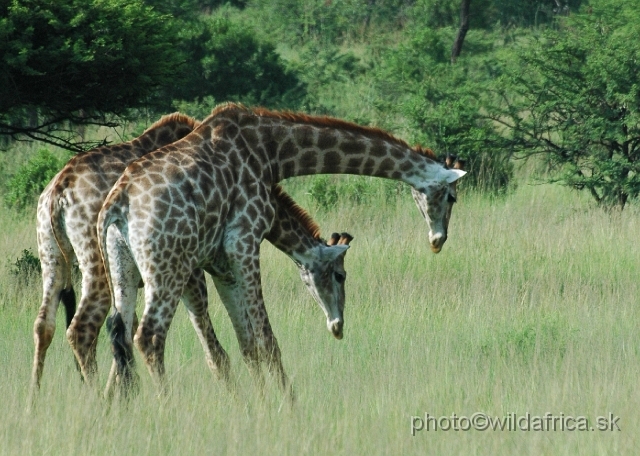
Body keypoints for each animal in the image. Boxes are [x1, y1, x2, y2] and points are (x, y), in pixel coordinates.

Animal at [105, 183, 356, 398]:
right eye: (340, 275)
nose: (338, 327)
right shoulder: (216, 271)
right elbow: (243, 344)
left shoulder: (221, 273)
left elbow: (246, 343)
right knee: (145, 336)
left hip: (123, 274)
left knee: (121, 336)